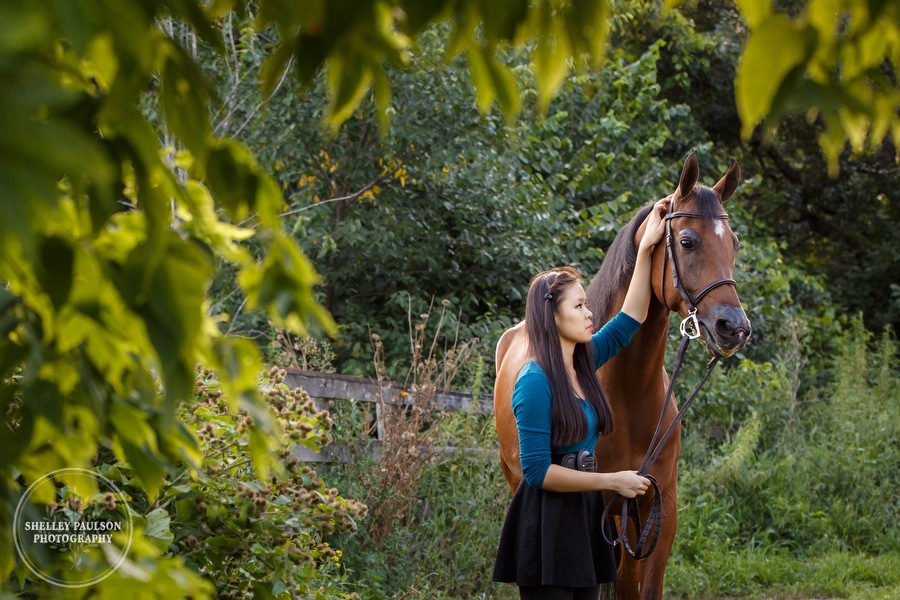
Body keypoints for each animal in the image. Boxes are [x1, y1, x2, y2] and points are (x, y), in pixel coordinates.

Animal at [496, 152, 748, 596]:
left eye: (733, 243)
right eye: (687, 241)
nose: (734, 328)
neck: (630, 392)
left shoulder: (661, 506)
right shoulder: (616, 504)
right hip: (518, 479)